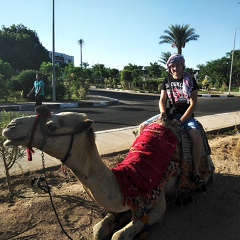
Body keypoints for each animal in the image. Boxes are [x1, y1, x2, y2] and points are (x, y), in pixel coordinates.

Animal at [1, 107, 215, 240]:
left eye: (52, 125)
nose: (10, 126)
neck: (127, 179)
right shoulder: (121, 203)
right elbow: (98, 230)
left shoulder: (158, 205)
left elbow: (118, 235)